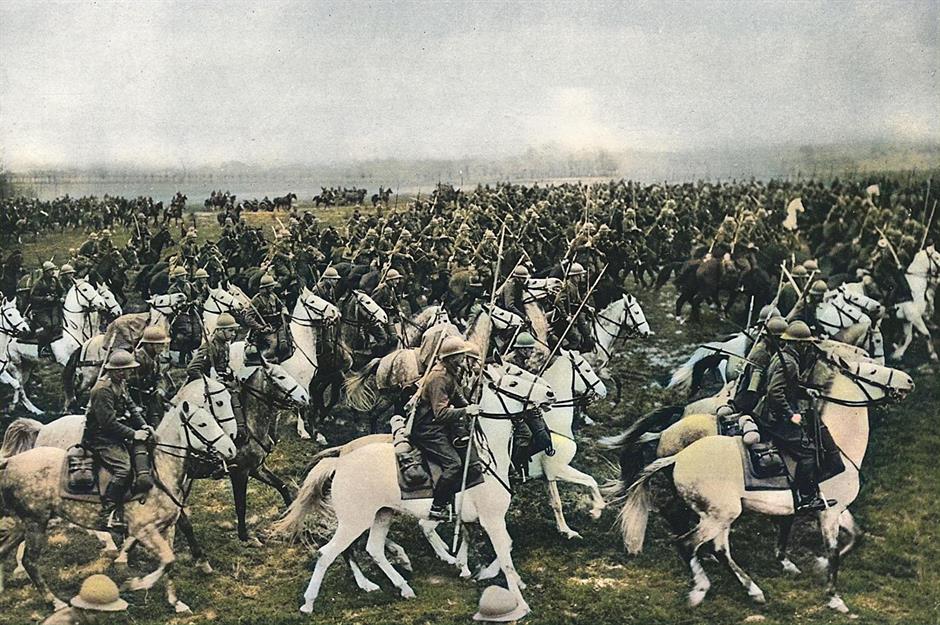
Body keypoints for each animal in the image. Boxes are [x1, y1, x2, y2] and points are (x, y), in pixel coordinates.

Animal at [272, 366, 560, 616]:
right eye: (513, 383)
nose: (549, 393)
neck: (485, 458)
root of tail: (340, 460)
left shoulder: (477, 519)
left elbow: (500, 547)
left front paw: (472, 569)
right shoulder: (492, 519)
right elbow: (505, 557)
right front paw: (519, 603)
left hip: (382, 514)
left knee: (373, 549)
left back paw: (403, 586)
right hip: (355, 521)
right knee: (329, 553)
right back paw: (311, 602)